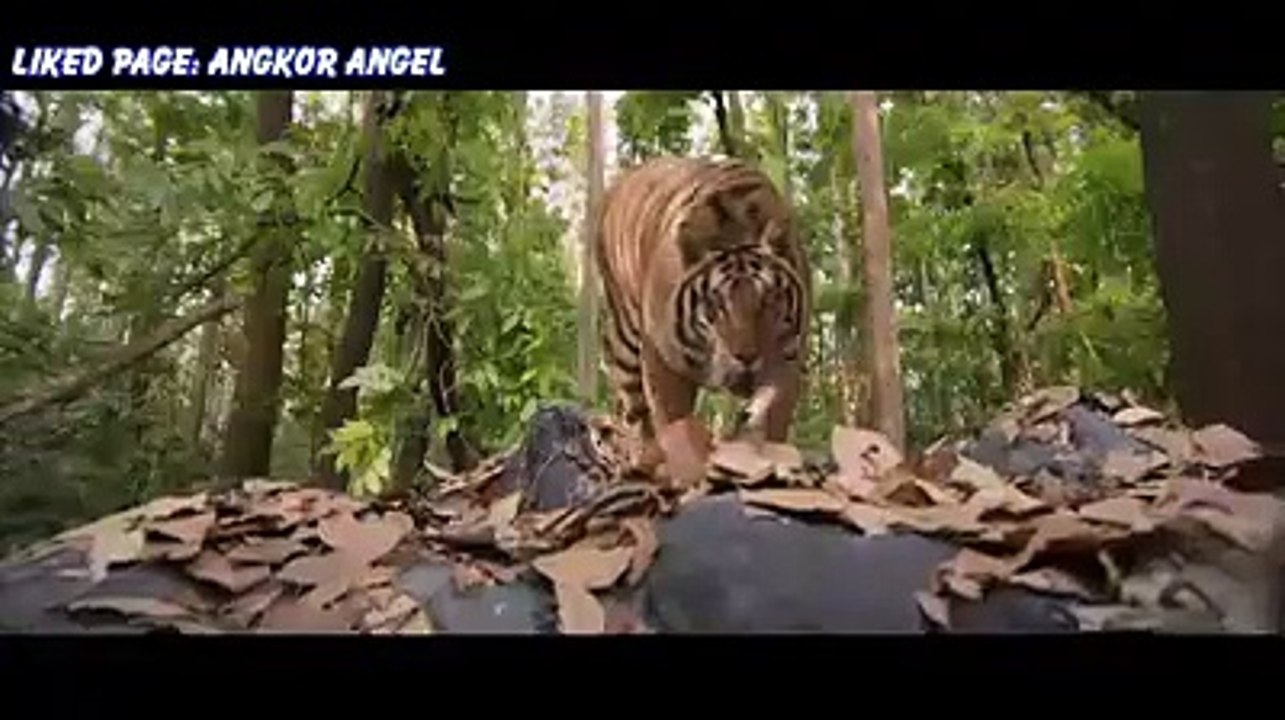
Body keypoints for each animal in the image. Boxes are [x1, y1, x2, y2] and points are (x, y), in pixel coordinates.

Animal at [594, 155, 812, 460]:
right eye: (716, 303)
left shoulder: (788, 359)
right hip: (625, 347)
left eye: (769, 299)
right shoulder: (662, 362)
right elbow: (674, 424)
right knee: (635, 414)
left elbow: (773, 426)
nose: (746, 357)